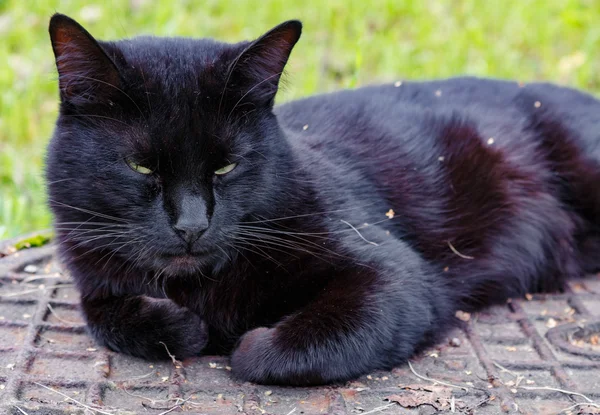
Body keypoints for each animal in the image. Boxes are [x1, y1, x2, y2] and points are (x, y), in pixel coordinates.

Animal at [47, 12, 600, 386]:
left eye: (227, 166)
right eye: (141, 167)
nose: (191, 225)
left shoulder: (395, 275)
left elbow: (283, 350)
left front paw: (249, 342)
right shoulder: (92, 277)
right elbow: (104, 316)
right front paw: (182, 326)